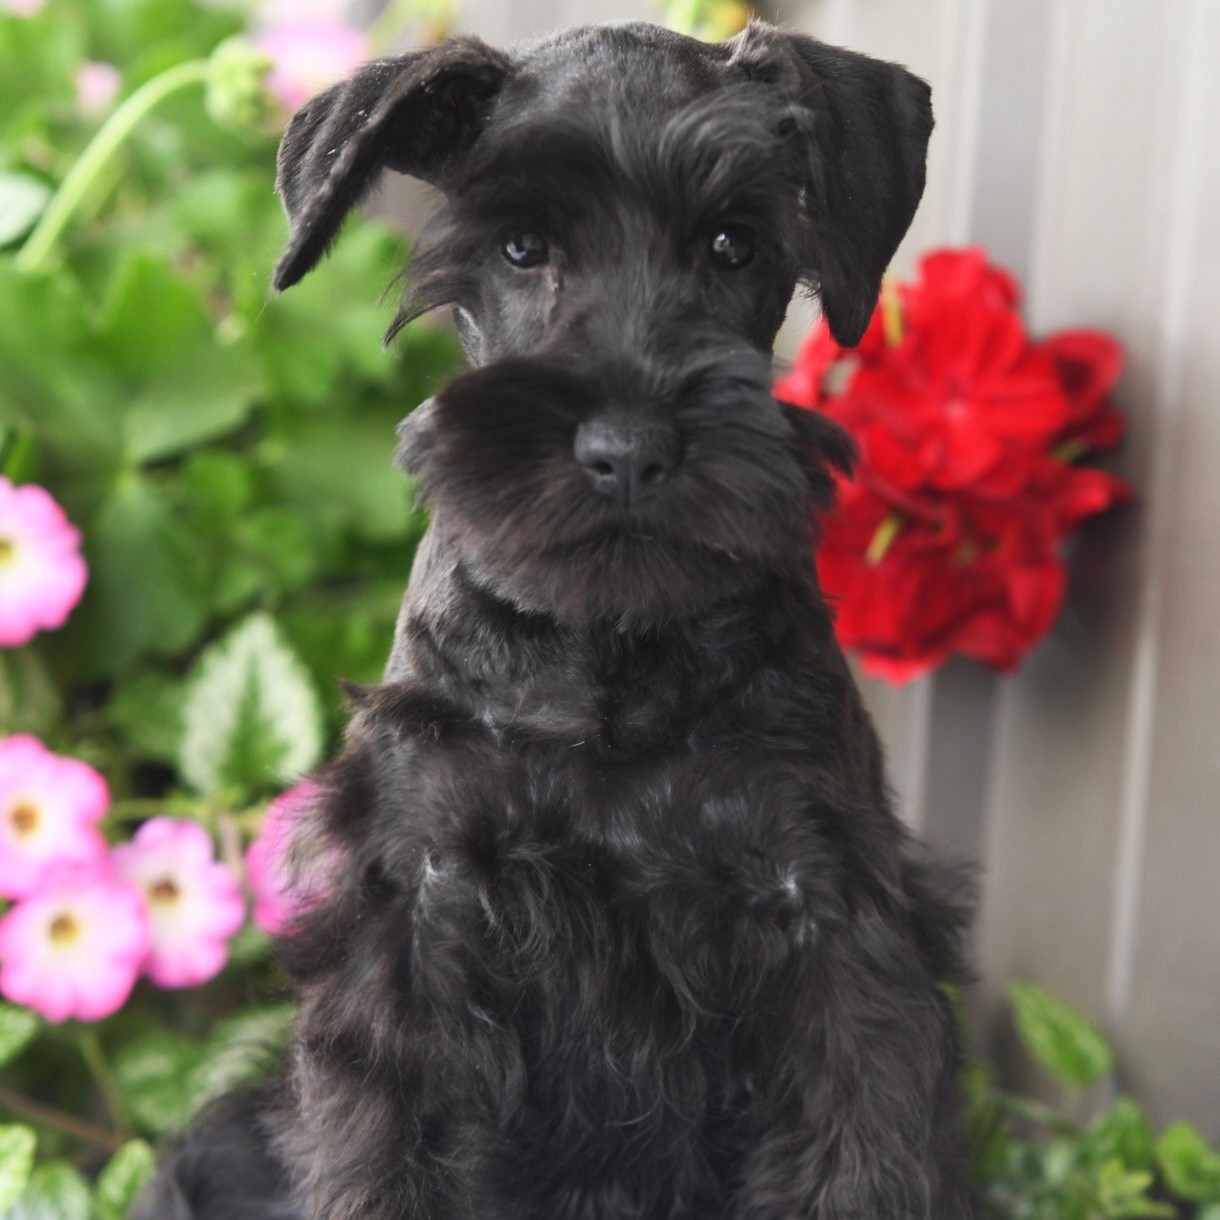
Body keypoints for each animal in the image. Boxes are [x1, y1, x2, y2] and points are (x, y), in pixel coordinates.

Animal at [136, 19, 971, 1220]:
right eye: (521, 247)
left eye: (732, 245)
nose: (627, 450)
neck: (607, 663)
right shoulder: (419, 935)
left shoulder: (831, 932)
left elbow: (856, 1157)